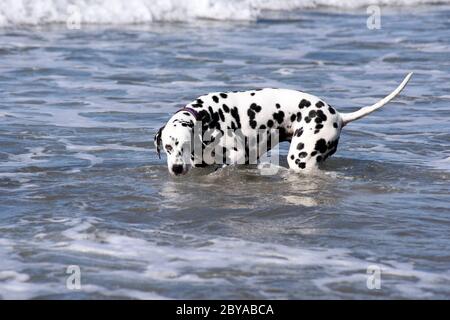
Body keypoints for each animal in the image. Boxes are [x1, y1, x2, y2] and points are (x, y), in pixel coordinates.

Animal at [154, 73, 412, 175]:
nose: (176, 169)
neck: (206, 115)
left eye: (185, 145)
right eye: (167, 147)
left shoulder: (237, 157)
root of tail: (338, 116)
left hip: (300, 159)